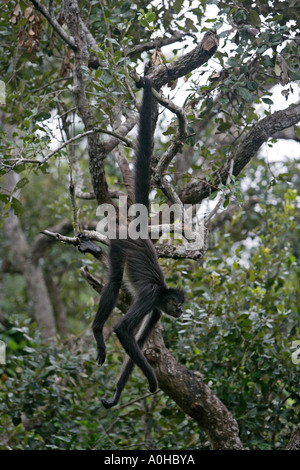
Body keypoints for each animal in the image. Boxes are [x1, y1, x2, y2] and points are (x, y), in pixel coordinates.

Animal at [83, 76, 184, 408]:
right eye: (178, 303)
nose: (181, 312)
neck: (163, 293)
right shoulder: (152, 298)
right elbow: (123, 331)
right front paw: (152, 381)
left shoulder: (157, 310)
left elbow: (137, 340)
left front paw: (116, 393)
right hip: (119, 242)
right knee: (114, 282)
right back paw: (97, 331)